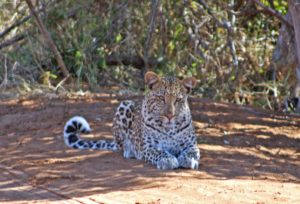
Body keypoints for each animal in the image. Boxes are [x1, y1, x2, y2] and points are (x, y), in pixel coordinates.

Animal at [63, 71, 199, 170]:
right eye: (161, 98)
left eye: (178, 100)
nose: (170, 115)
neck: (169, 129)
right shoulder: (148, 147)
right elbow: (160, 152)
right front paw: (168, 160)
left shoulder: (191, 145)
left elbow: (191, 152)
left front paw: (188, 160)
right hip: (124, 105)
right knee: (122, 145)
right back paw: (129, 151)